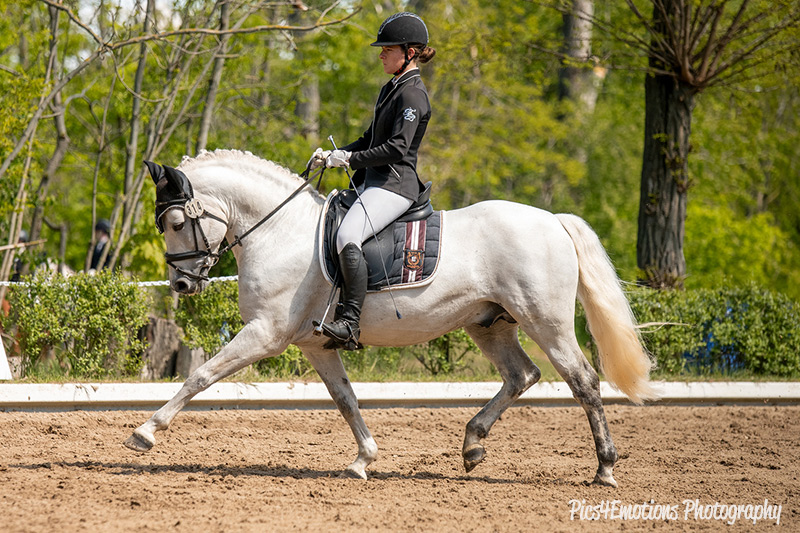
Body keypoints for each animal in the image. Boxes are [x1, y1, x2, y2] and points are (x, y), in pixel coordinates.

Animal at [126, 148, 656, 484]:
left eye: (176, 223)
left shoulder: (264, 334)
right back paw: (473, 445)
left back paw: (605, 468)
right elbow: (346, 400)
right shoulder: (316, 345)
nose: (181, 285)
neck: (280, 230)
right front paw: (364, 460)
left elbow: (202, 376)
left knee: (582, 380)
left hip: (545, 321)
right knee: (521, 375)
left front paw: (145, 433)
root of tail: (553, 221)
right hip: (489, 324)